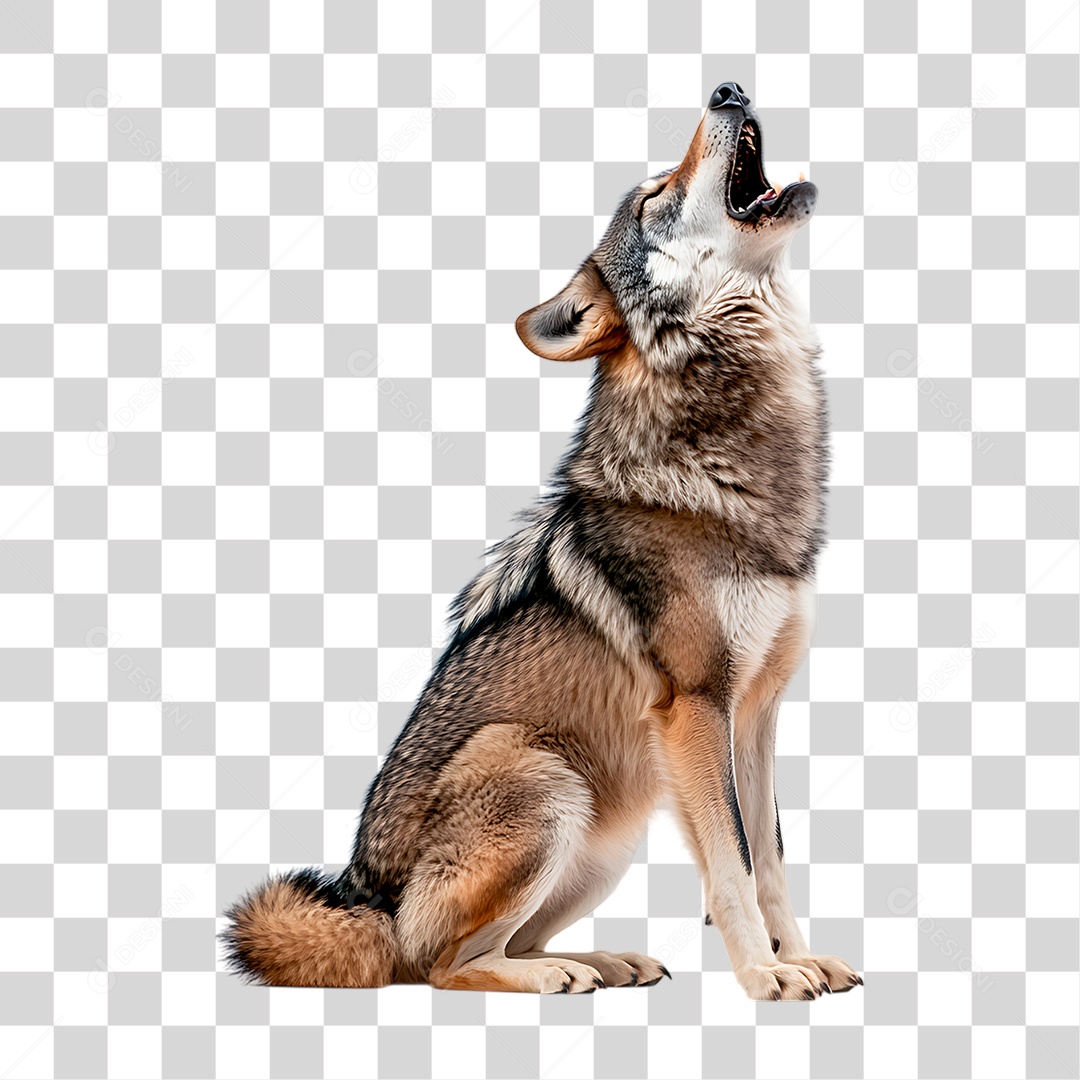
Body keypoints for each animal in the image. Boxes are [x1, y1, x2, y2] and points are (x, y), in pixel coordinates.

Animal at [223, 83, 862, 1000]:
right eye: (655, 198)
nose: (728, 89)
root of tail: (368, 904)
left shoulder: (760, 712)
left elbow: (769, 855)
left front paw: (797, 955)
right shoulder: (697, 709)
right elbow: (734, 862)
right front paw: (763, 976)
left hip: (611, 831)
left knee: (504, 943)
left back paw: (601, 961)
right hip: (540, 772)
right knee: (439, 966)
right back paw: (558, 974)